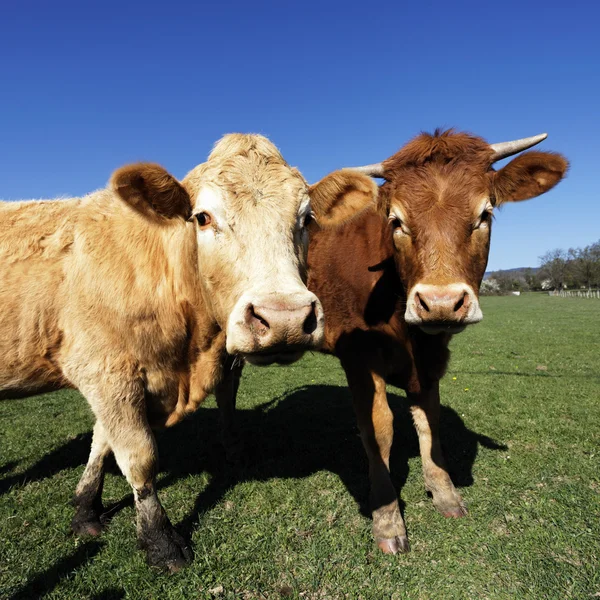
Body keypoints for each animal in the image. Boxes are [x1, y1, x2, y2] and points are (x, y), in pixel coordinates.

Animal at [0, 134, 376, 568]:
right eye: (203, 218)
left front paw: (85, 510)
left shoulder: (114, 379)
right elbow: (138, 456)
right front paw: (160, 540)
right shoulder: (103, 370)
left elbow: (101, 442)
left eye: (307, 219)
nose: (284, 318)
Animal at [219, 131, 568, 556]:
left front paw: (444, 491)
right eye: (396, 221)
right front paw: (387, 518)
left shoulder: (432, 357)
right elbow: (379, 428)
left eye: (484, 215)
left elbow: (429, 421)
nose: (440, 302)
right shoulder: (359, 357)